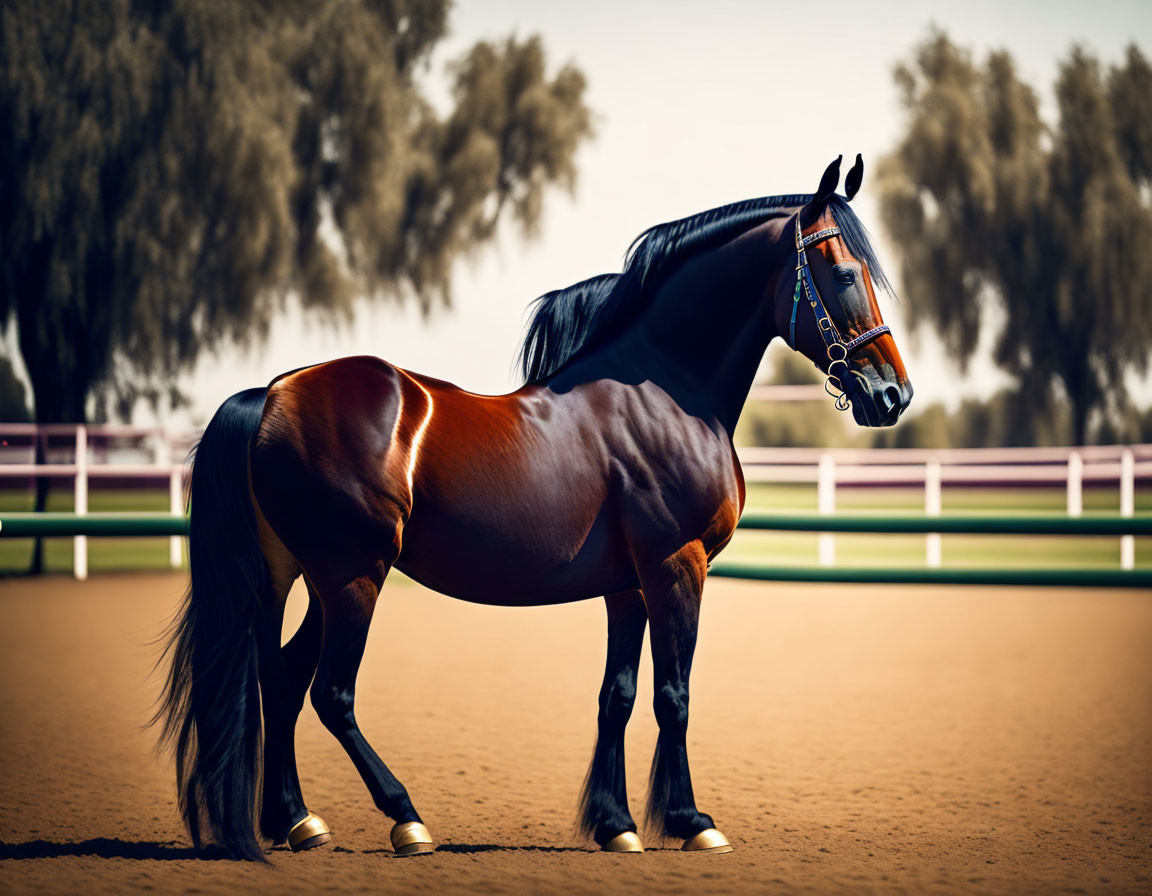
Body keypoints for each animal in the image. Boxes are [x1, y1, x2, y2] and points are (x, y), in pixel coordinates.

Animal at [155, 153, 907, 856]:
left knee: (279, 678)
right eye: (845, 274)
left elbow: (617, 697)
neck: (663, 391)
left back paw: (298, 821)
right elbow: (674, 696)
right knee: (329, 694)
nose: (892, 394)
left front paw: (616, 825)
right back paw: (405, 819)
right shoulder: (677, 566)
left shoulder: (628, 586)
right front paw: (691, 821)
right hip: (354, 575)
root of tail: (271, 395)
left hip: (300, 575)